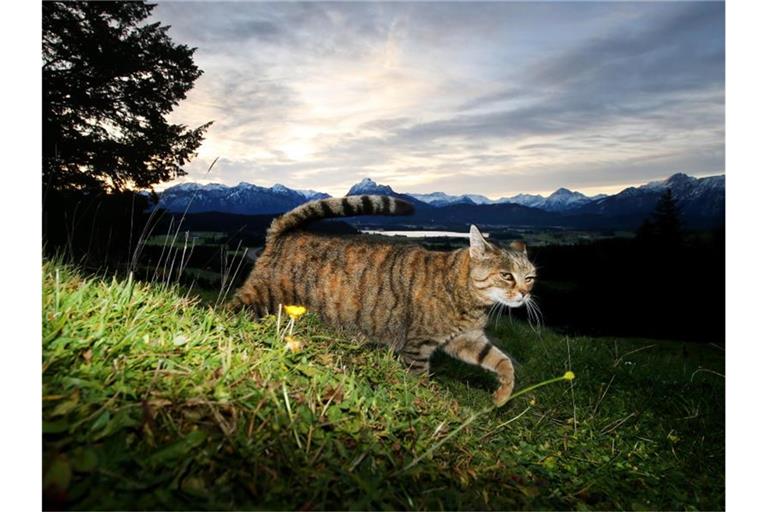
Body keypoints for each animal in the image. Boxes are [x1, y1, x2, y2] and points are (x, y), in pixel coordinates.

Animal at [231, 195, 536, 404]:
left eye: (531, 277)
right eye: (507, 276)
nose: (525, 293)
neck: (468, 298)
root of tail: (283, 232)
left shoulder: (467, 339)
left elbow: (503, 361)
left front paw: (502, 395)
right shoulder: (418, 347)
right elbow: (420, 381)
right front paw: (429, 400)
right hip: (261, 297)